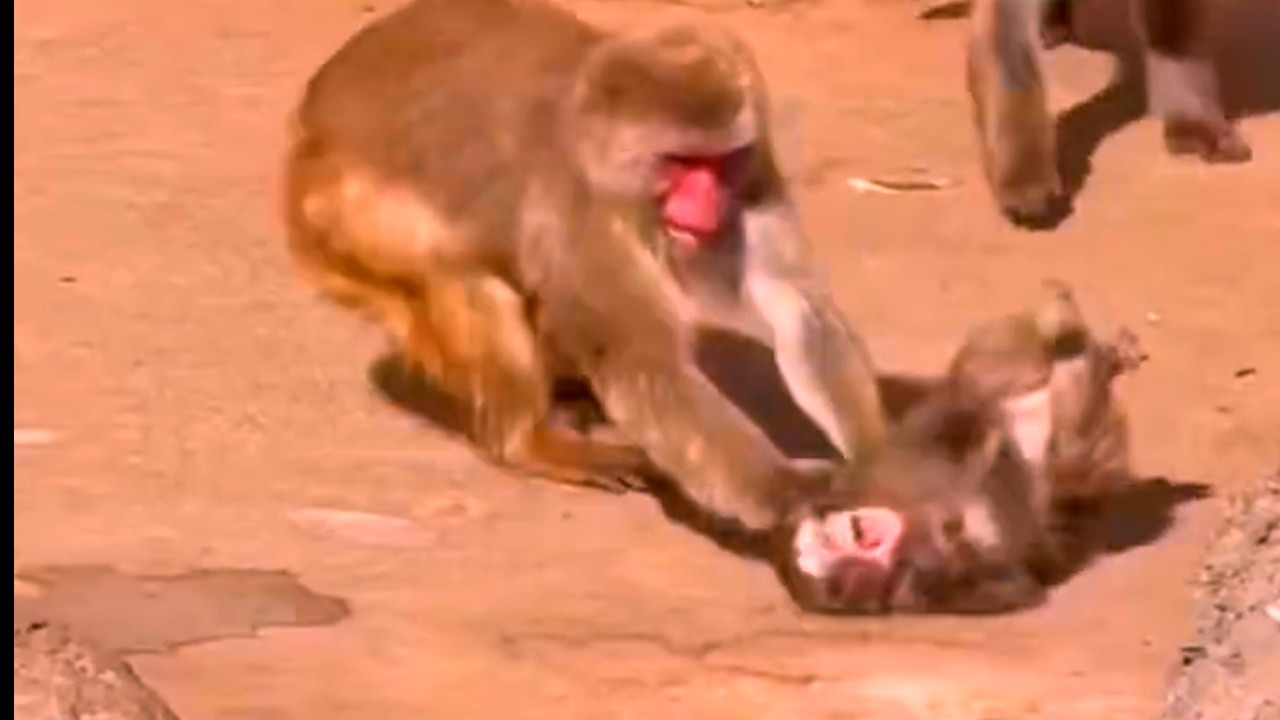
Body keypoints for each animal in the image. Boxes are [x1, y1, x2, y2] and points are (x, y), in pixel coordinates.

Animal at [281, 0, 888, 528]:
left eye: (721, 163)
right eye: (682, 163)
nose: (707, 205)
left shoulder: (755, 173)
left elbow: (797, 304)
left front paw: (881, 460)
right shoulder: (577, 211)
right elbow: (641, 359)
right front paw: (785, 490)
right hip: (340, 213)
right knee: (462, 274)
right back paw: (528, 443)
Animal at [771, 281, 1145, 614]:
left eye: (853, 532)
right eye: (843, 572)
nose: (870, 538)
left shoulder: (877, 472)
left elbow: (955, 416)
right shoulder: (914, 588)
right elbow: (1016, 582)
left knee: (993, 370)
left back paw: (1070, 334)